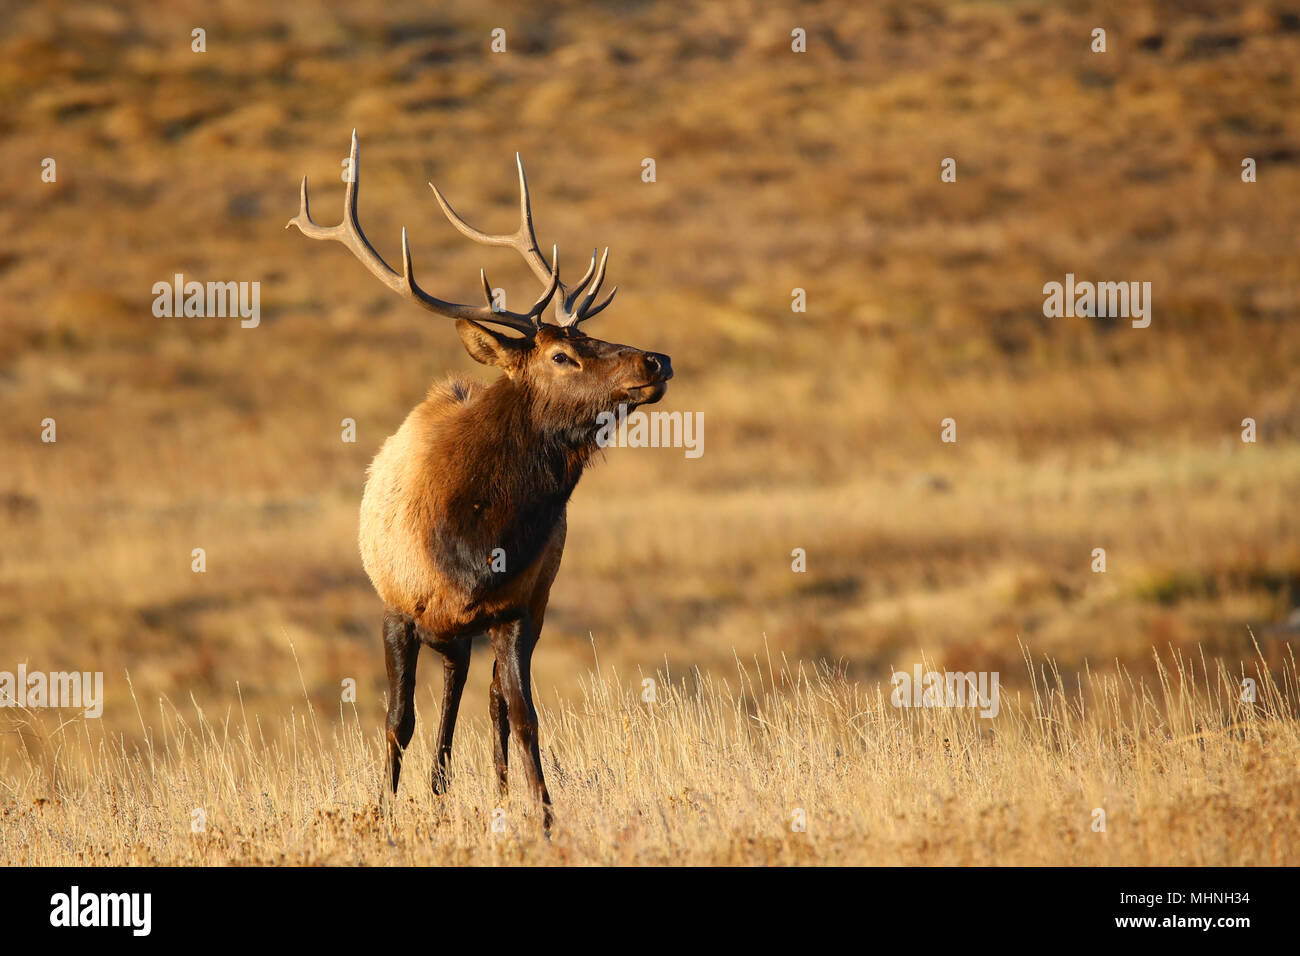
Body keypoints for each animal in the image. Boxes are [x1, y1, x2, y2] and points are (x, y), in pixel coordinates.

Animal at [287, 132, 672, 830]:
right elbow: (397, 721)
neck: (472, 538)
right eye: (562, 355)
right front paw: (385, 813)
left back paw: (482, 793)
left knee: (483, 700)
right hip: (444, 625)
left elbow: (523, 717)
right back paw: (437, 792)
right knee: (445, 699)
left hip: (520, 611)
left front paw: (543, 817)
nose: (657, 360)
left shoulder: (515, 610)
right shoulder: (396, 607)